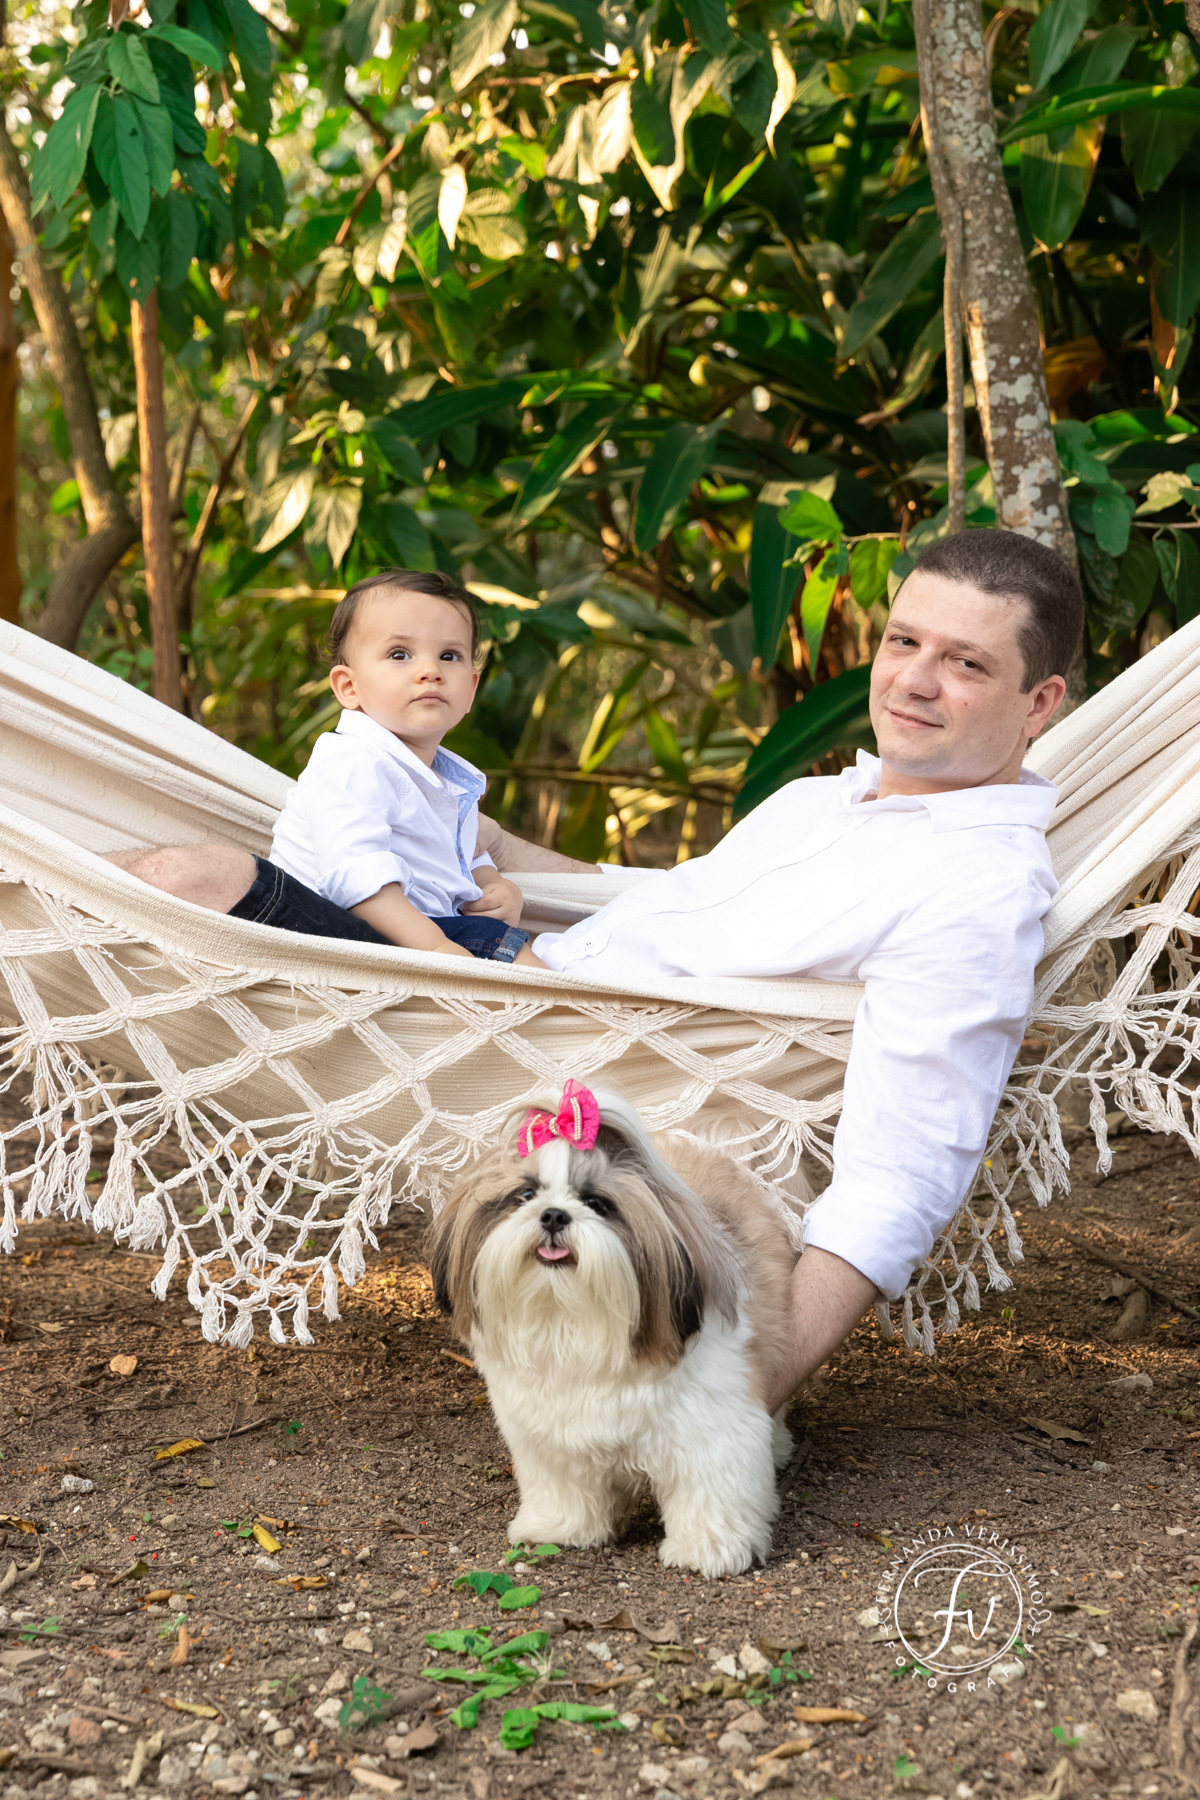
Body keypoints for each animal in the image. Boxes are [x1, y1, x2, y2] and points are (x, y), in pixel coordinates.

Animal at [428, 1079, 797, 1578]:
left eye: (597, 1203)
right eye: (525, 1195)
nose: (553, 1214)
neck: (574, 1322)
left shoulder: (710, 1428)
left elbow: (712, 1488)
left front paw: (710, 1548)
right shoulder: (552, 1437)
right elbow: (565, 1486)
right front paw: (559, 1527)